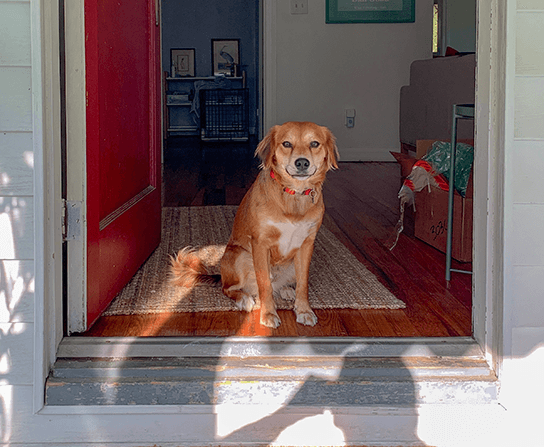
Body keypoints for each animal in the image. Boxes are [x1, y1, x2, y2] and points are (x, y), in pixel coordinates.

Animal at [169, 121, 339, 328]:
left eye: (314, 144)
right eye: (286, 144)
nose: (302, 163)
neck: (293, 195)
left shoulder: (306, 245)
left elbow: (303, 283)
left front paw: (304, 310)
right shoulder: (260, 243)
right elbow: (264, 283)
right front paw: (268, 314)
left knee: (280, 284)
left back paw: (286, 290)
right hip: (239, 256)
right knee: (229, 288)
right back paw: (245, 299)